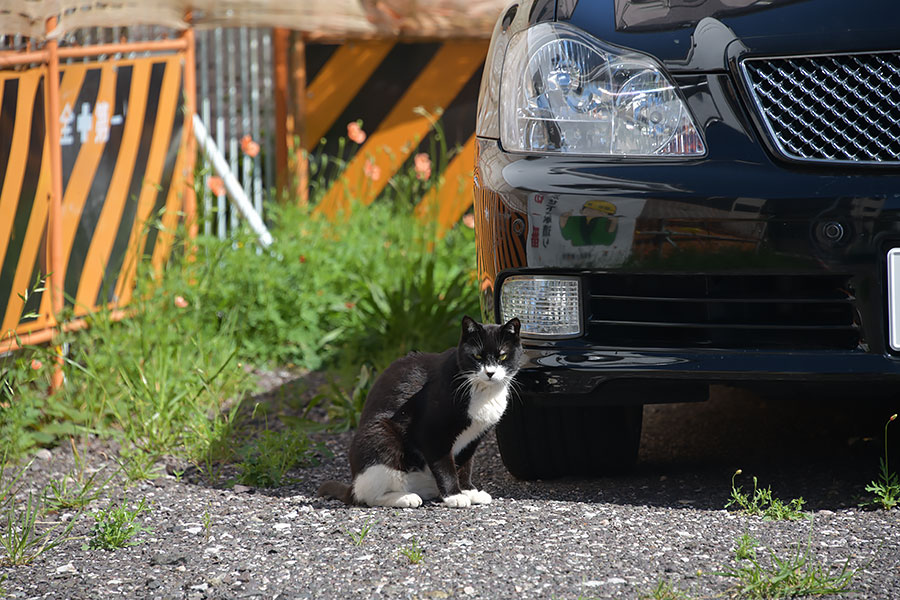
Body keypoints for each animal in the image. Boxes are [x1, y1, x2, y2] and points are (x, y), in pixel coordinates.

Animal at [320, 316, 524, 508]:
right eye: (477, 356)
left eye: (502, 356)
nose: (490, 372)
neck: (482, 390)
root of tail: (352, 485)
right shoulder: (431, 432)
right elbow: (445, 465)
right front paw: (455, 496)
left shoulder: (473, 438)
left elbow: (465, 464)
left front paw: (469, 491)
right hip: (381, 436)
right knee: (369, 495)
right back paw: (406, 498)